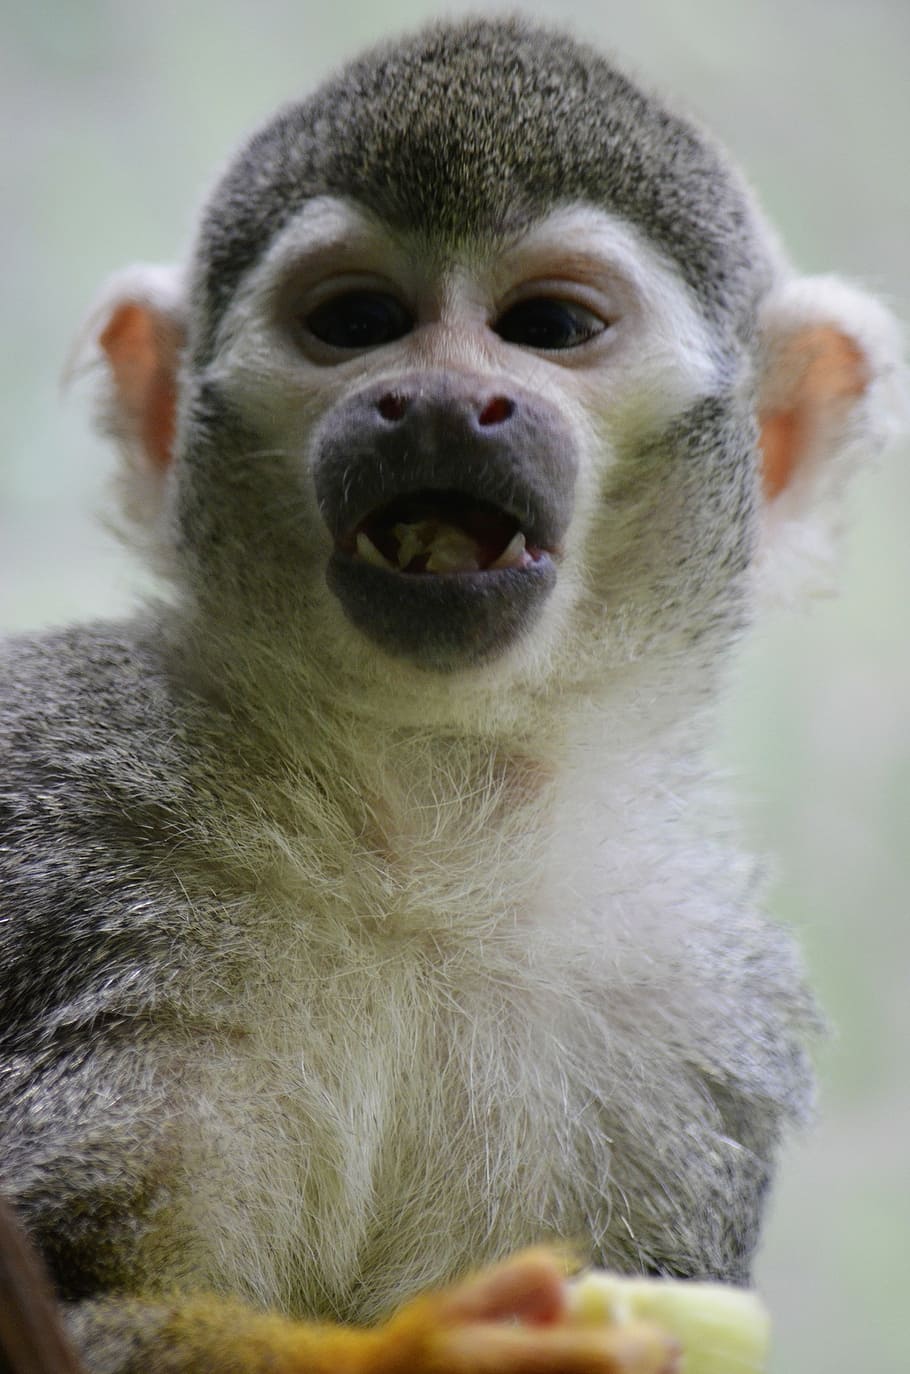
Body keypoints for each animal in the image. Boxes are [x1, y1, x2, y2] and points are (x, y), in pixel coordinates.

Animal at [0, 15, 904, 1374]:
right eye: (358, 319)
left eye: (551, 326)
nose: (431, 401)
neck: (427, 826)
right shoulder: (85, 835)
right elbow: (81, 1302)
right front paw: (430, 1349)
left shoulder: (696, 1019)